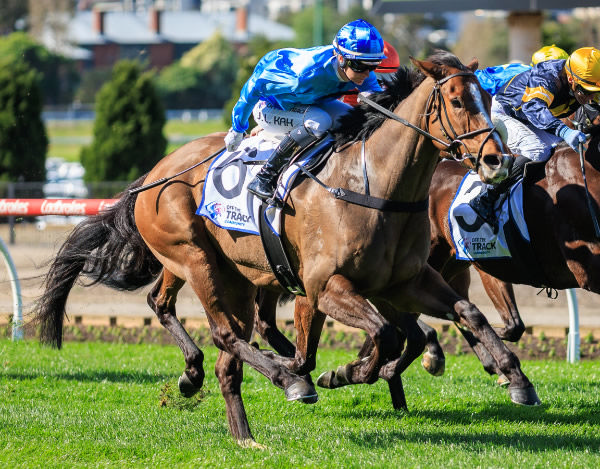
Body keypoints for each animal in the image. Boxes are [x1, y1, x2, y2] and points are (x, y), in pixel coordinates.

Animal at [31, 49, 536, 444]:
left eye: (488, 99)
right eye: (456, 101)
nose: (499, 160)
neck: (374, 185)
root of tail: (155, 173)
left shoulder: (405, 281)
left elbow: (465, 314)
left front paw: (517, 379)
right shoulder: (326, 286)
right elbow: (385, 334)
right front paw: (343, 373)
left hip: (222, 269)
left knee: (188, 322)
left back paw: (219, 399)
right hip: (194, 257)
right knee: (223, 332)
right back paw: (283, 378)